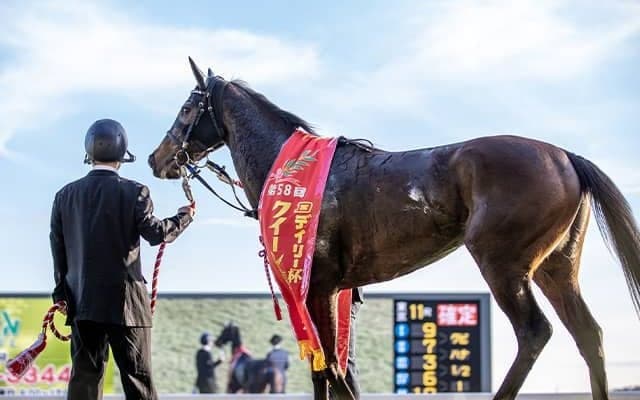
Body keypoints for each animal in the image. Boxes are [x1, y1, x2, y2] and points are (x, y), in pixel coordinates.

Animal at [148, 58, 640, 400]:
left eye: (188, 107)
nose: (157, 157)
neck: (294, 170)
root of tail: (564, 155)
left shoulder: (317, 285)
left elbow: (330, 369)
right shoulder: (335, 291)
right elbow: (331, 369)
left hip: (502, 265)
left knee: (535, 332)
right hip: (556, 268)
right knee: (588, 335)